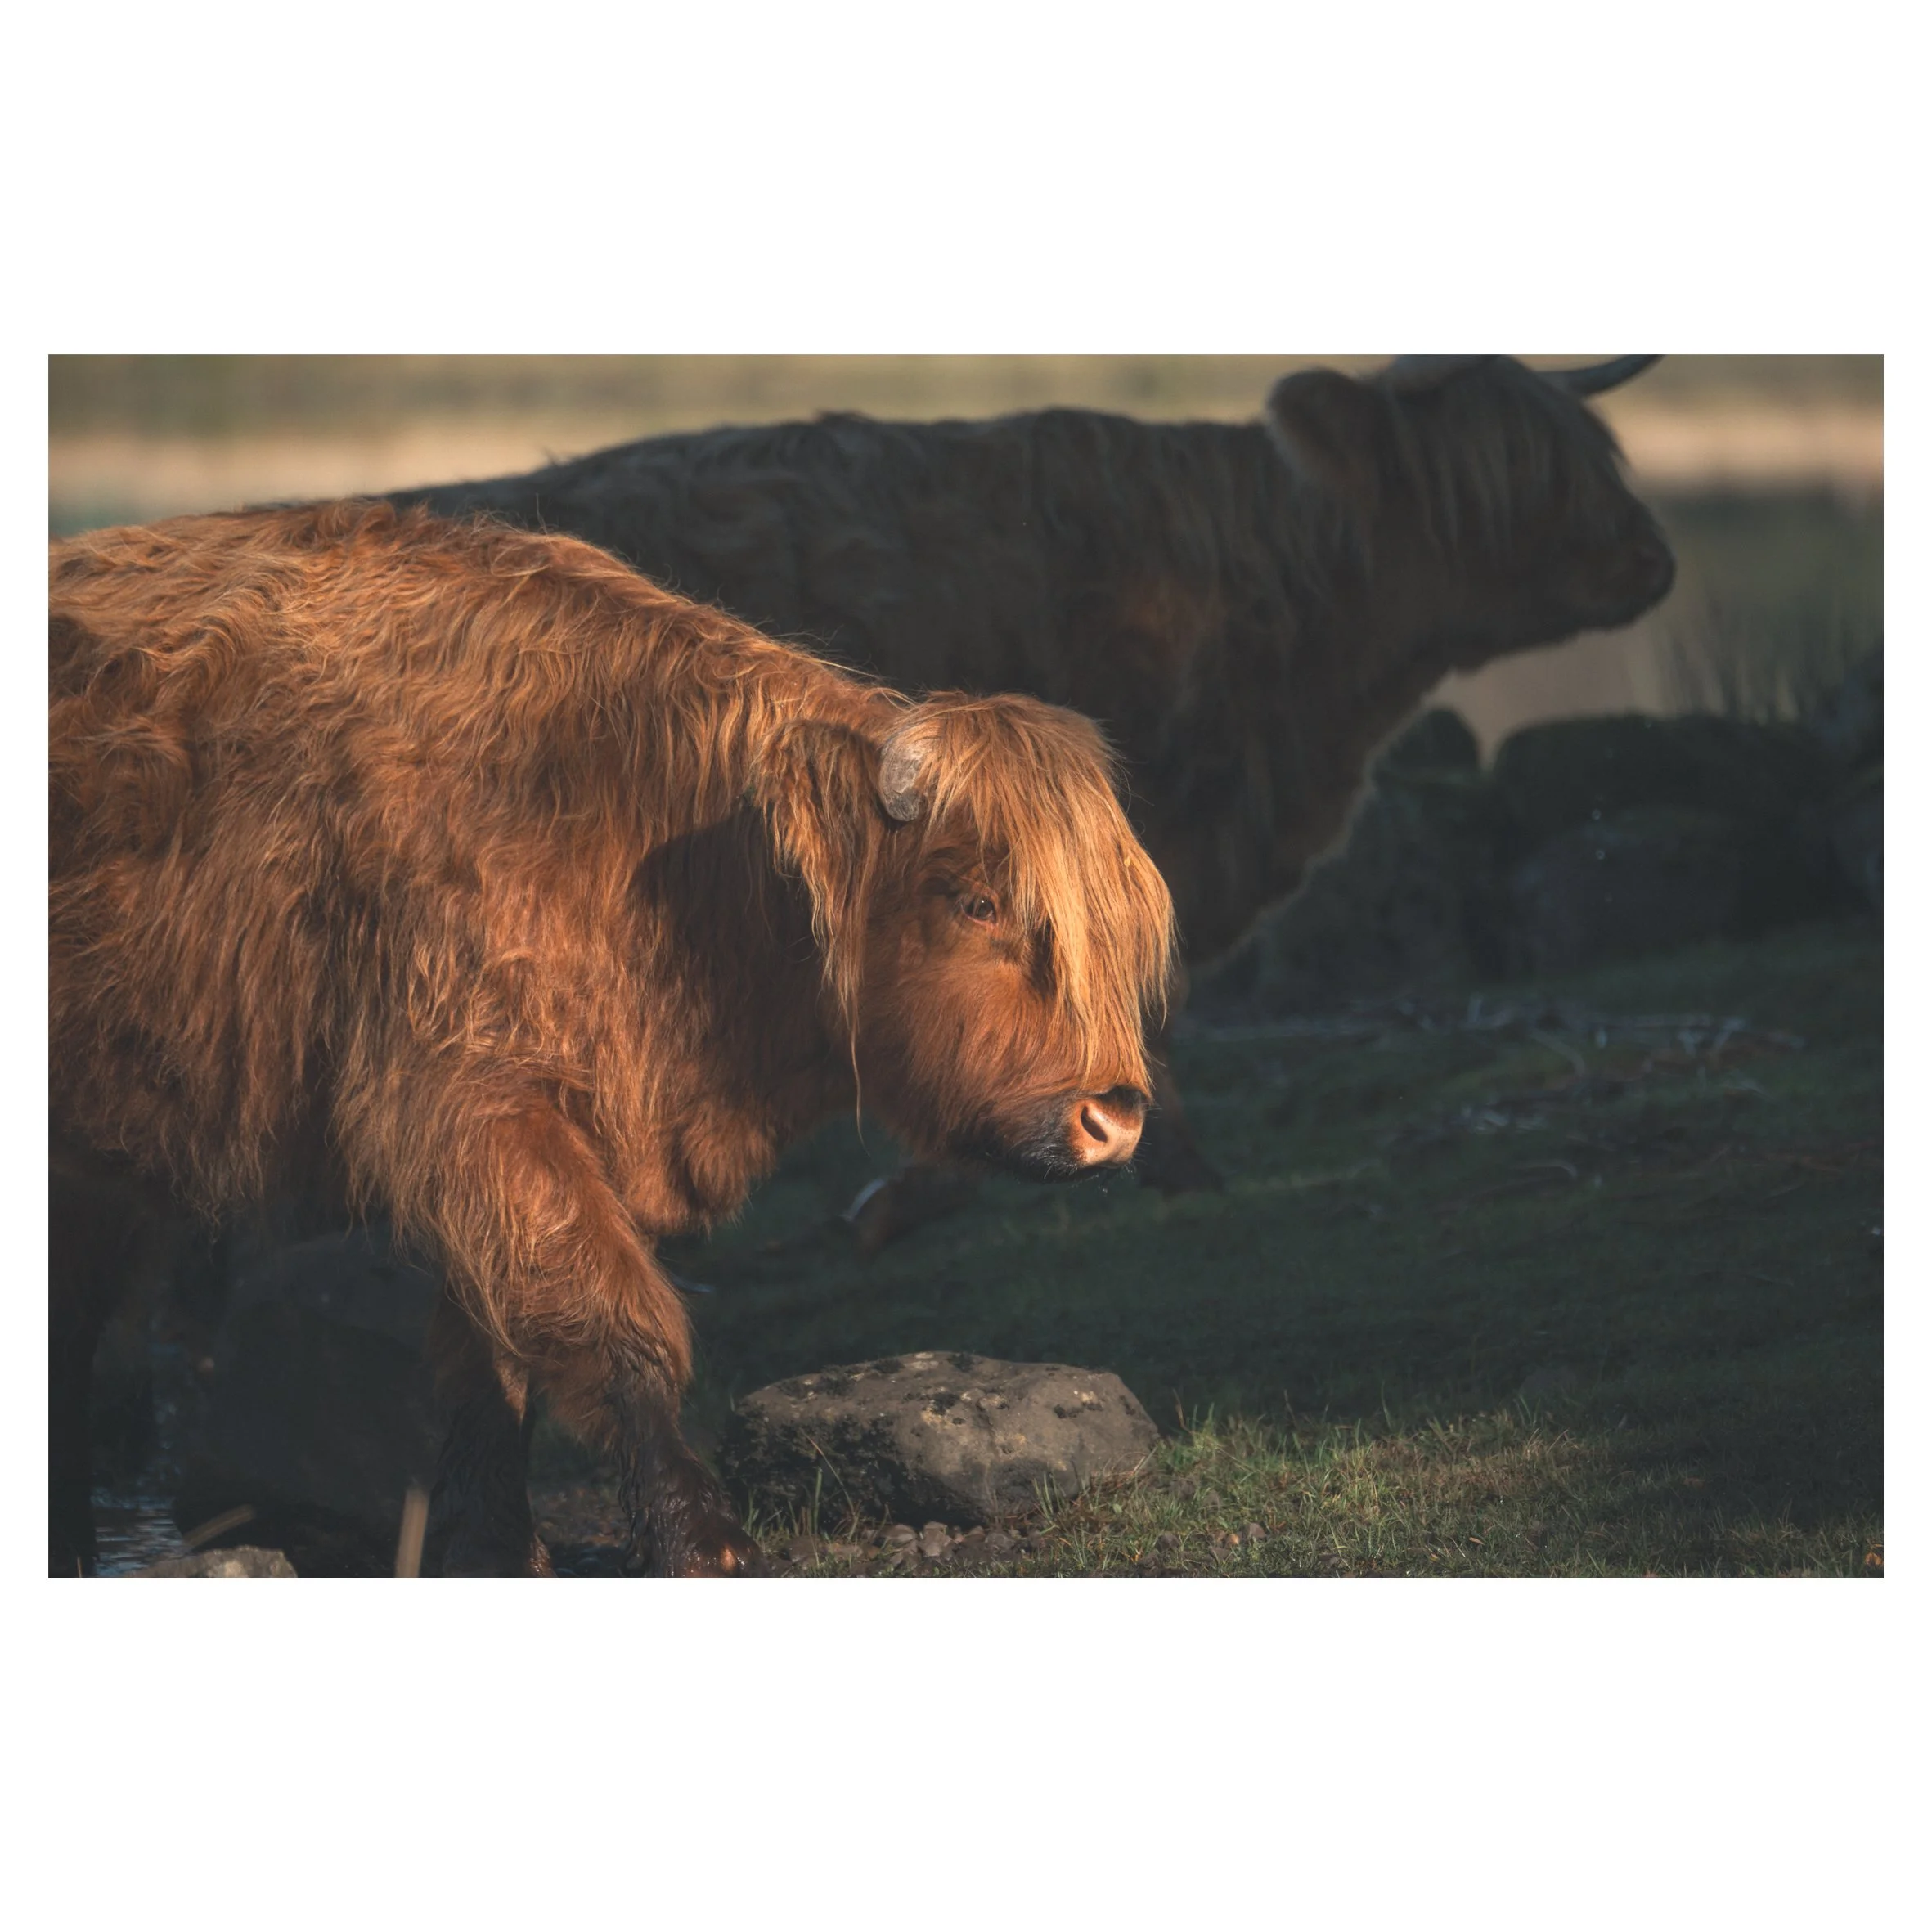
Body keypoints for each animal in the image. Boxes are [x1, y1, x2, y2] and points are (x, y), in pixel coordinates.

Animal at [48, 501, 1175, 1577]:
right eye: (977, 900)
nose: (1113, 1118)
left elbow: (493, 1351)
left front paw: (497, 1550)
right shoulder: (479, 1107)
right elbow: (605, 1314)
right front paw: (703, 1541)